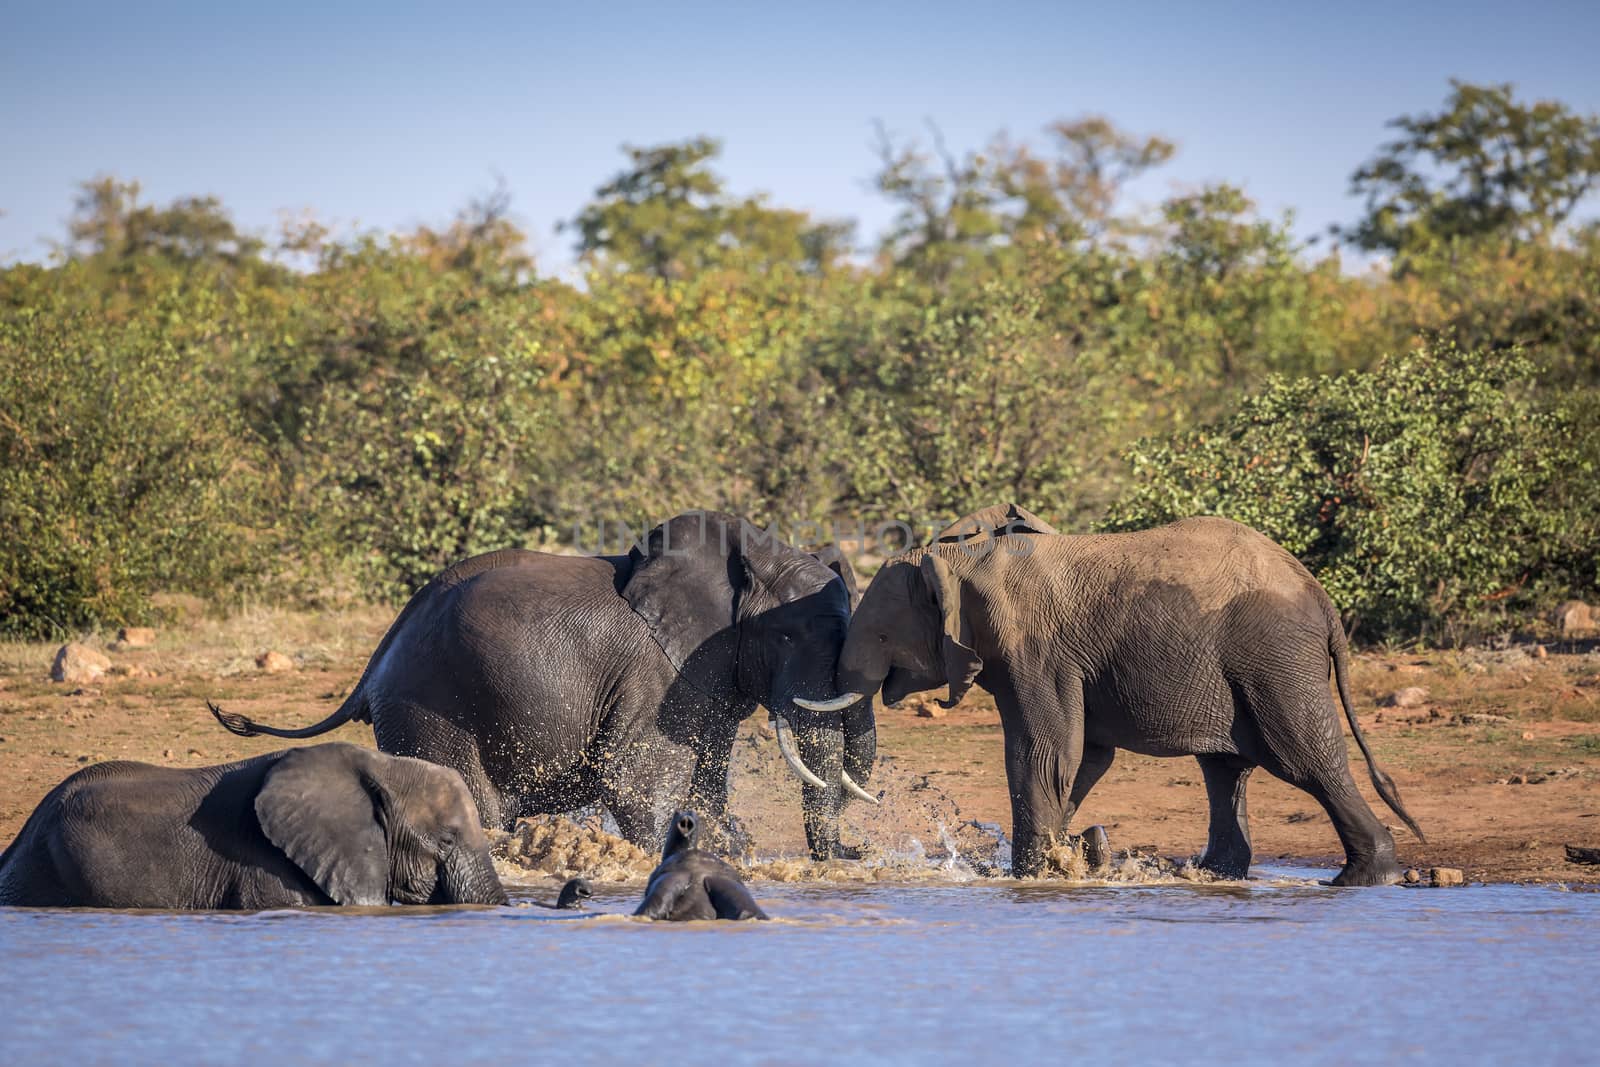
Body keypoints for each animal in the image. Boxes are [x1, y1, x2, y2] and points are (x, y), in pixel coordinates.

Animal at [812, 505, 1427, 889]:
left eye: (882, 637)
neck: (957, 560)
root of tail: (1322, 598)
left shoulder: (1035, 650)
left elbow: (1045, 753)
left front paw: (1032, 874)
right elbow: (1083, 758)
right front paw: (1072, 854)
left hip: (1275, 660)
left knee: (1303, 759)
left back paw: (1363, 878)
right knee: (1226, 769)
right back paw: (1211, 875)